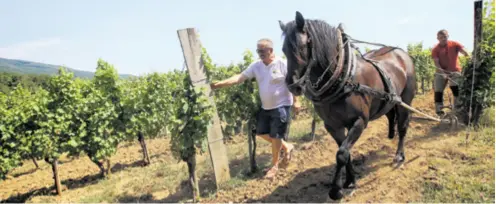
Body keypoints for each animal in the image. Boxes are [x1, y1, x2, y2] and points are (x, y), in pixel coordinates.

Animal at [280, 10, 414, 199]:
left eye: (303, 46)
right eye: (283, 49)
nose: (293, 86)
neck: (342, 78)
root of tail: (401, 53)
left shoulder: (359, 121)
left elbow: (342, 154)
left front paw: (336, 190)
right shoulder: (332, 125)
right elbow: (345, 152)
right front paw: (350, 181)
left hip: (405, 101)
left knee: (403, 127)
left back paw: (399, 156)